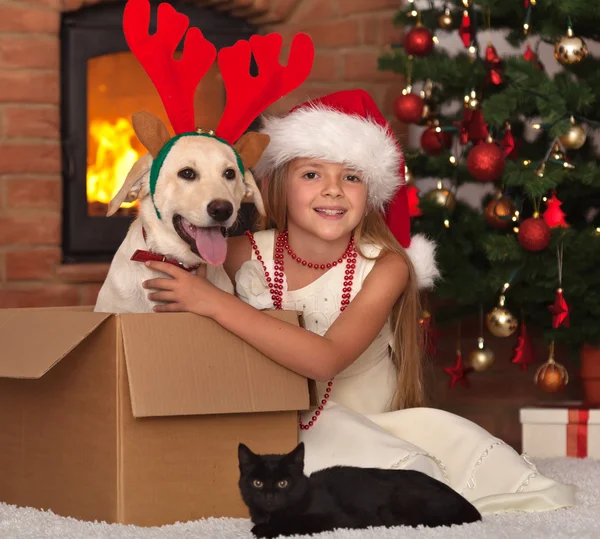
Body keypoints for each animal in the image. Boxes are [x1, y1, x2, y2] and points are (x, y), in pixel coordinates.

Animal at [237, 442, 480, 536]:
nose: (269, 496)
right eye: (257, 483)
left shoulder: (335, 518)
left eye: (283, 483)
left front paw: (263, 530)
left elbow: (295, 522)